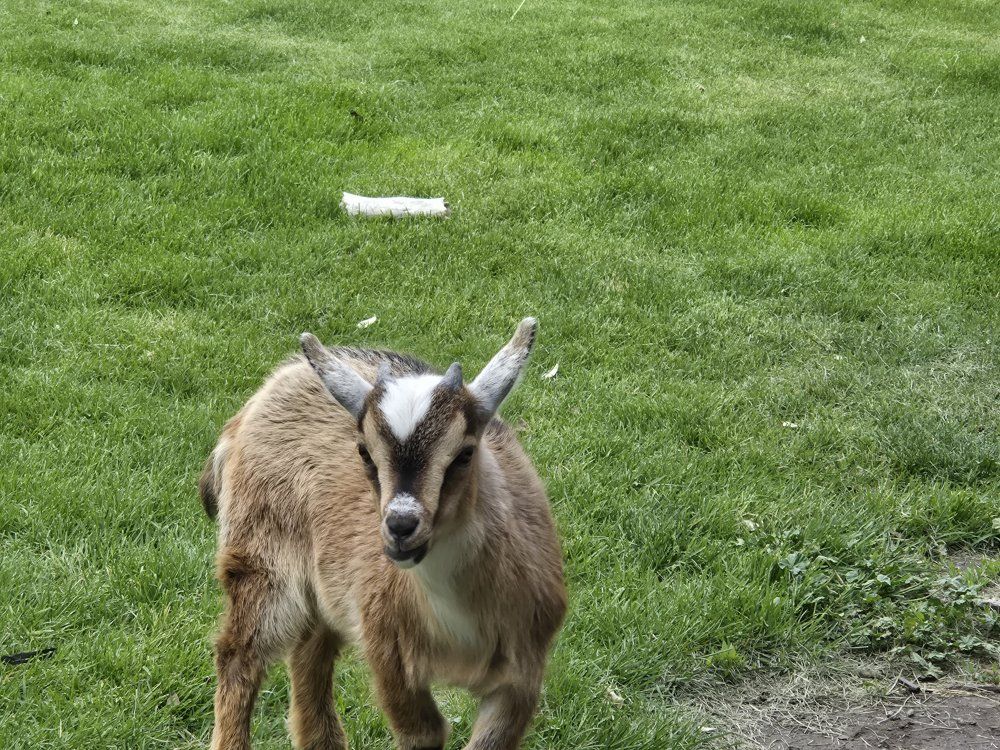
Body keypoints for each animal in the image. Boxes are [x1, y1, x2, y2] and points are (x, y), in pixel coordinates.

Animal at [199, 318, 567, 750]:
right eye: (364, 451)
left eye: (464, 454)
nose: (401, 526)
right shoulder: (390, 658)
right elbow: (424, 731)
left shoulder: (523, 672)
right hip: (262, 562)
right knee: (239, 655)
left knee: (309, 652)